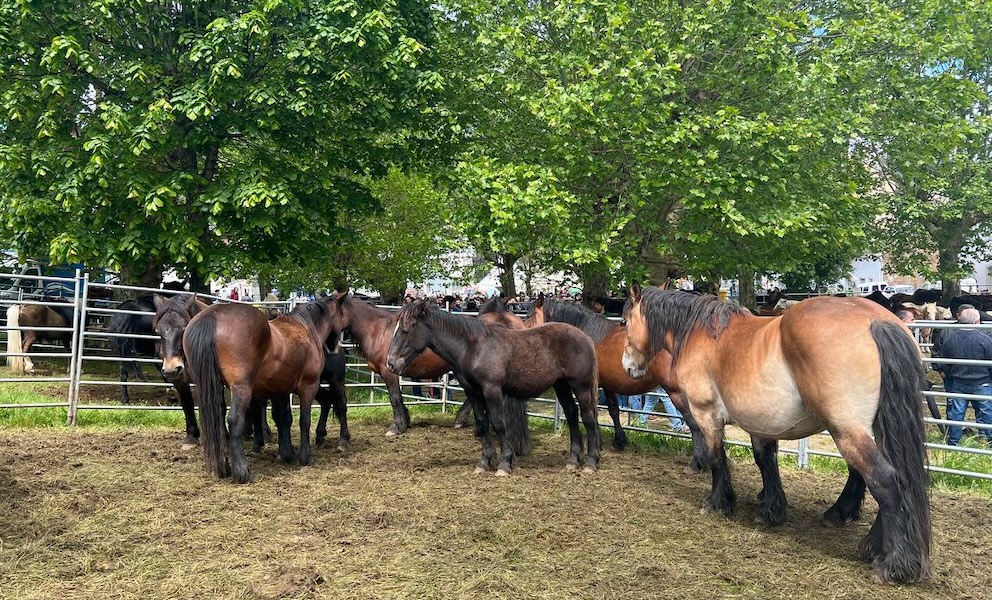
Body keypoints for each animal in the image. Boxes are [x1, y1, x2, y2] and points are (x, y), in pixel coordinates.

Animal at [187, 296, 348, 482]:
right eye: (342, 314)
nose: (334, 348)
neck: (307, 328)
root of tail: (212, 315)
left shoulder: (280, 390)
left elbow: (283, 418)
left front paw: (286, 454)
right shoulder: (309, 386)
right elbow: (303, 420)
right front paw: (305, 457)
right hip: (242, 389)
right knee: (234, 421)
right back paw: (242, 472)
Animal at [386, 302, 604, 476]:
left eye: (406, 329)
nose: (391, 363)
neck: (473, 348)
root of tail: (585, 338)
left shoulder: (492, 390)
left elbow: (499, 424)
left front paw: (504, 464)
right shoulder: (473, 392)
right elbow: (483, 424)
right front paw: (483, 463)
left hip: (581, 386)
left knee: (589, 419)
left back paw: (590, 463)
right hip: (561, 385)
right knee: (572, 414)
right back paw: (573, 461)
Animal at [528, 296, 704, 464]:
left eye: (530, 315)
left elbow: (594, 412)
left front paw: (598, 443)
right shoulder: (608, 385)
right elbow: (614, 410)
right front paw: (619, 440)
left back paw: (698, 461)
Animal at [620, 284, 928, 584]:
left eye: (624, 321)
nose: (627, 367)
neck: (701, 334)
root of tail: (876, 320)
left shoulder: (706, 414)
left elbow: (716, 458)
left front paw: (718, 503)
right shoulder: (760, 422)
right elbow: (765, 462)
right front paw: (771, 510)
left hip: (846, 429)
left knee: (884, 480)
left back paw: (892, 564)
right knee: (881, 476)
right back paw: (859, 533)